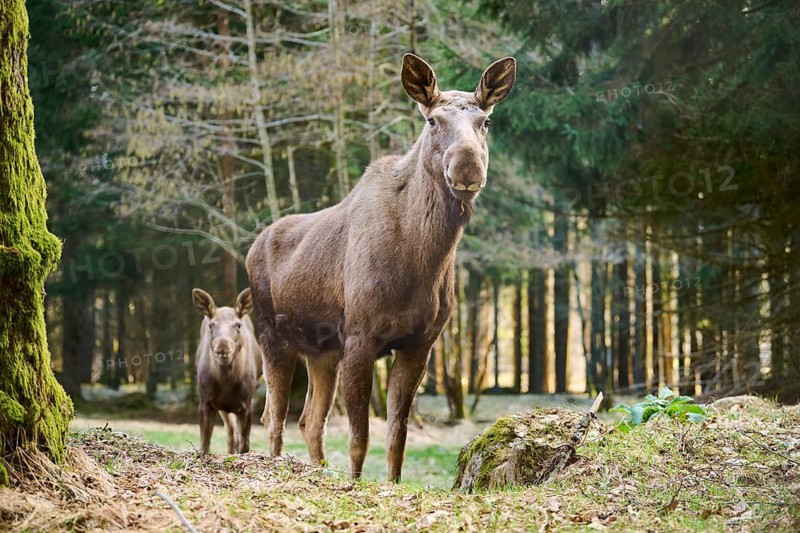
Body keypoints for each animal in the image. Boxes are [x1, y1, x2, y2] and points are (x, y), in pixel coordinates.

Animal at [193, 287, 263, 455]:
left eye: (238, 325)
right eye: (211, 325)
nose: (222, 346)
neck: (226, 383)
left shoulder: (246, 404)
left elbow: (245, 446)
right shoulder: (205, 401)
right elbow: (204, 444)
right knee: (231, 431)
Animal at [245, 53, 516, 481]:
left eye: (485, 122)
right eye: (432, 120)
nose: (468, 167)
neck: (422, 263)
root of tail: (252, 247)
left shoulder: (419, 343)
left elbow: (396, 437)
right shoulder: (360, 336)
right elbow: (360, 437)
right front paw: (355, 484)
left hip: (321, 352)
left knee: (309, 421)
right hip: (273, 335)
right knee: (273, 417)